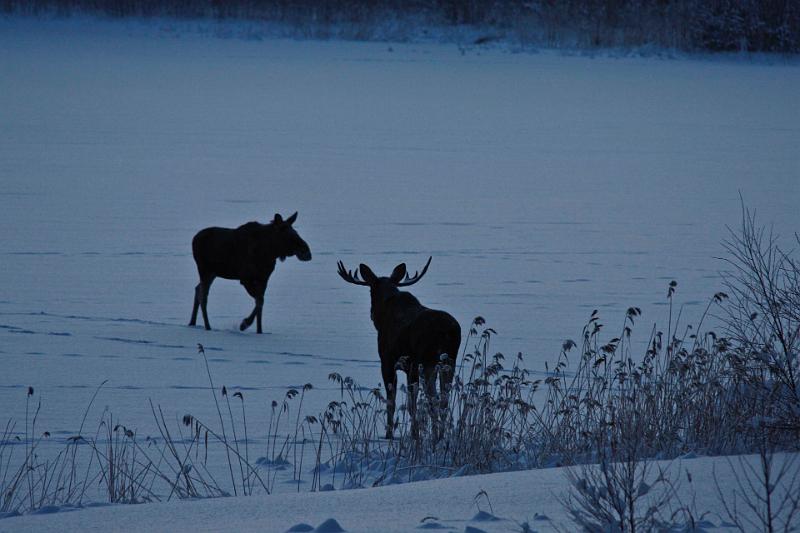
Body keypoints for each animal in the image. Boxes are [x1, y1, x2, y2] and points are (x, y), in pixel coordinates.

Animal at [338, 256, 462, 436]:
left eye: (370, 291)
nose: (372, 313)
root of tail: (448, 331)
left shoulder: (388, 361)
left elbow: (393, 402)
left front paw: (391, 434)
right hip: (448, 361)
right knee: (442, 400)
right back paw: (438, 435)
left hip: (423, 362)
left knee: (427, 401)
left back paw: (425, 434)